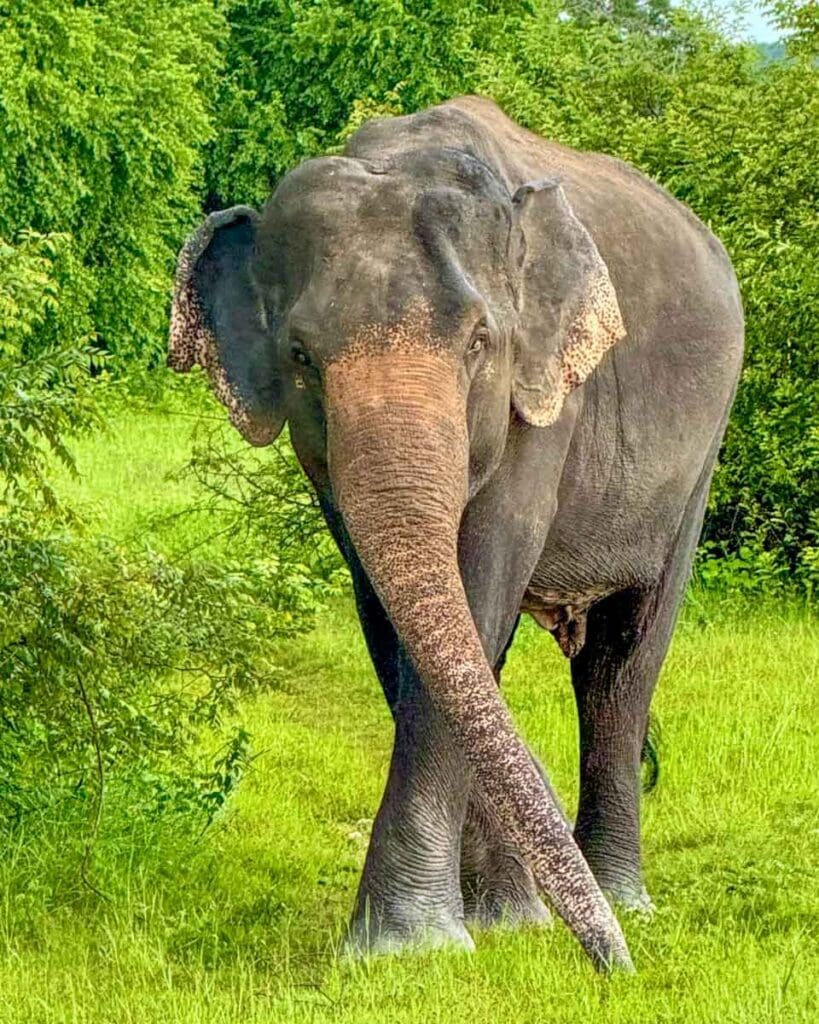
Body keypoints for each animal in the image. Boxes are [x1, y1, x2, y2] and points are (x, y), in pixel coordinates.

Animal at [168, 96, 744, 972]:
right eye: (300, 355)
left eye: (479, 342)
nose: (611, 967)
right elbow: (398, 621)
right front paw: (483, 929)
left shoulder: (542, 401)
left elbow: (481, 580)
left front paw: (411, 947)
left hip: (697, 460)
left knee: (622, 664)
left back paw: (623, 903)